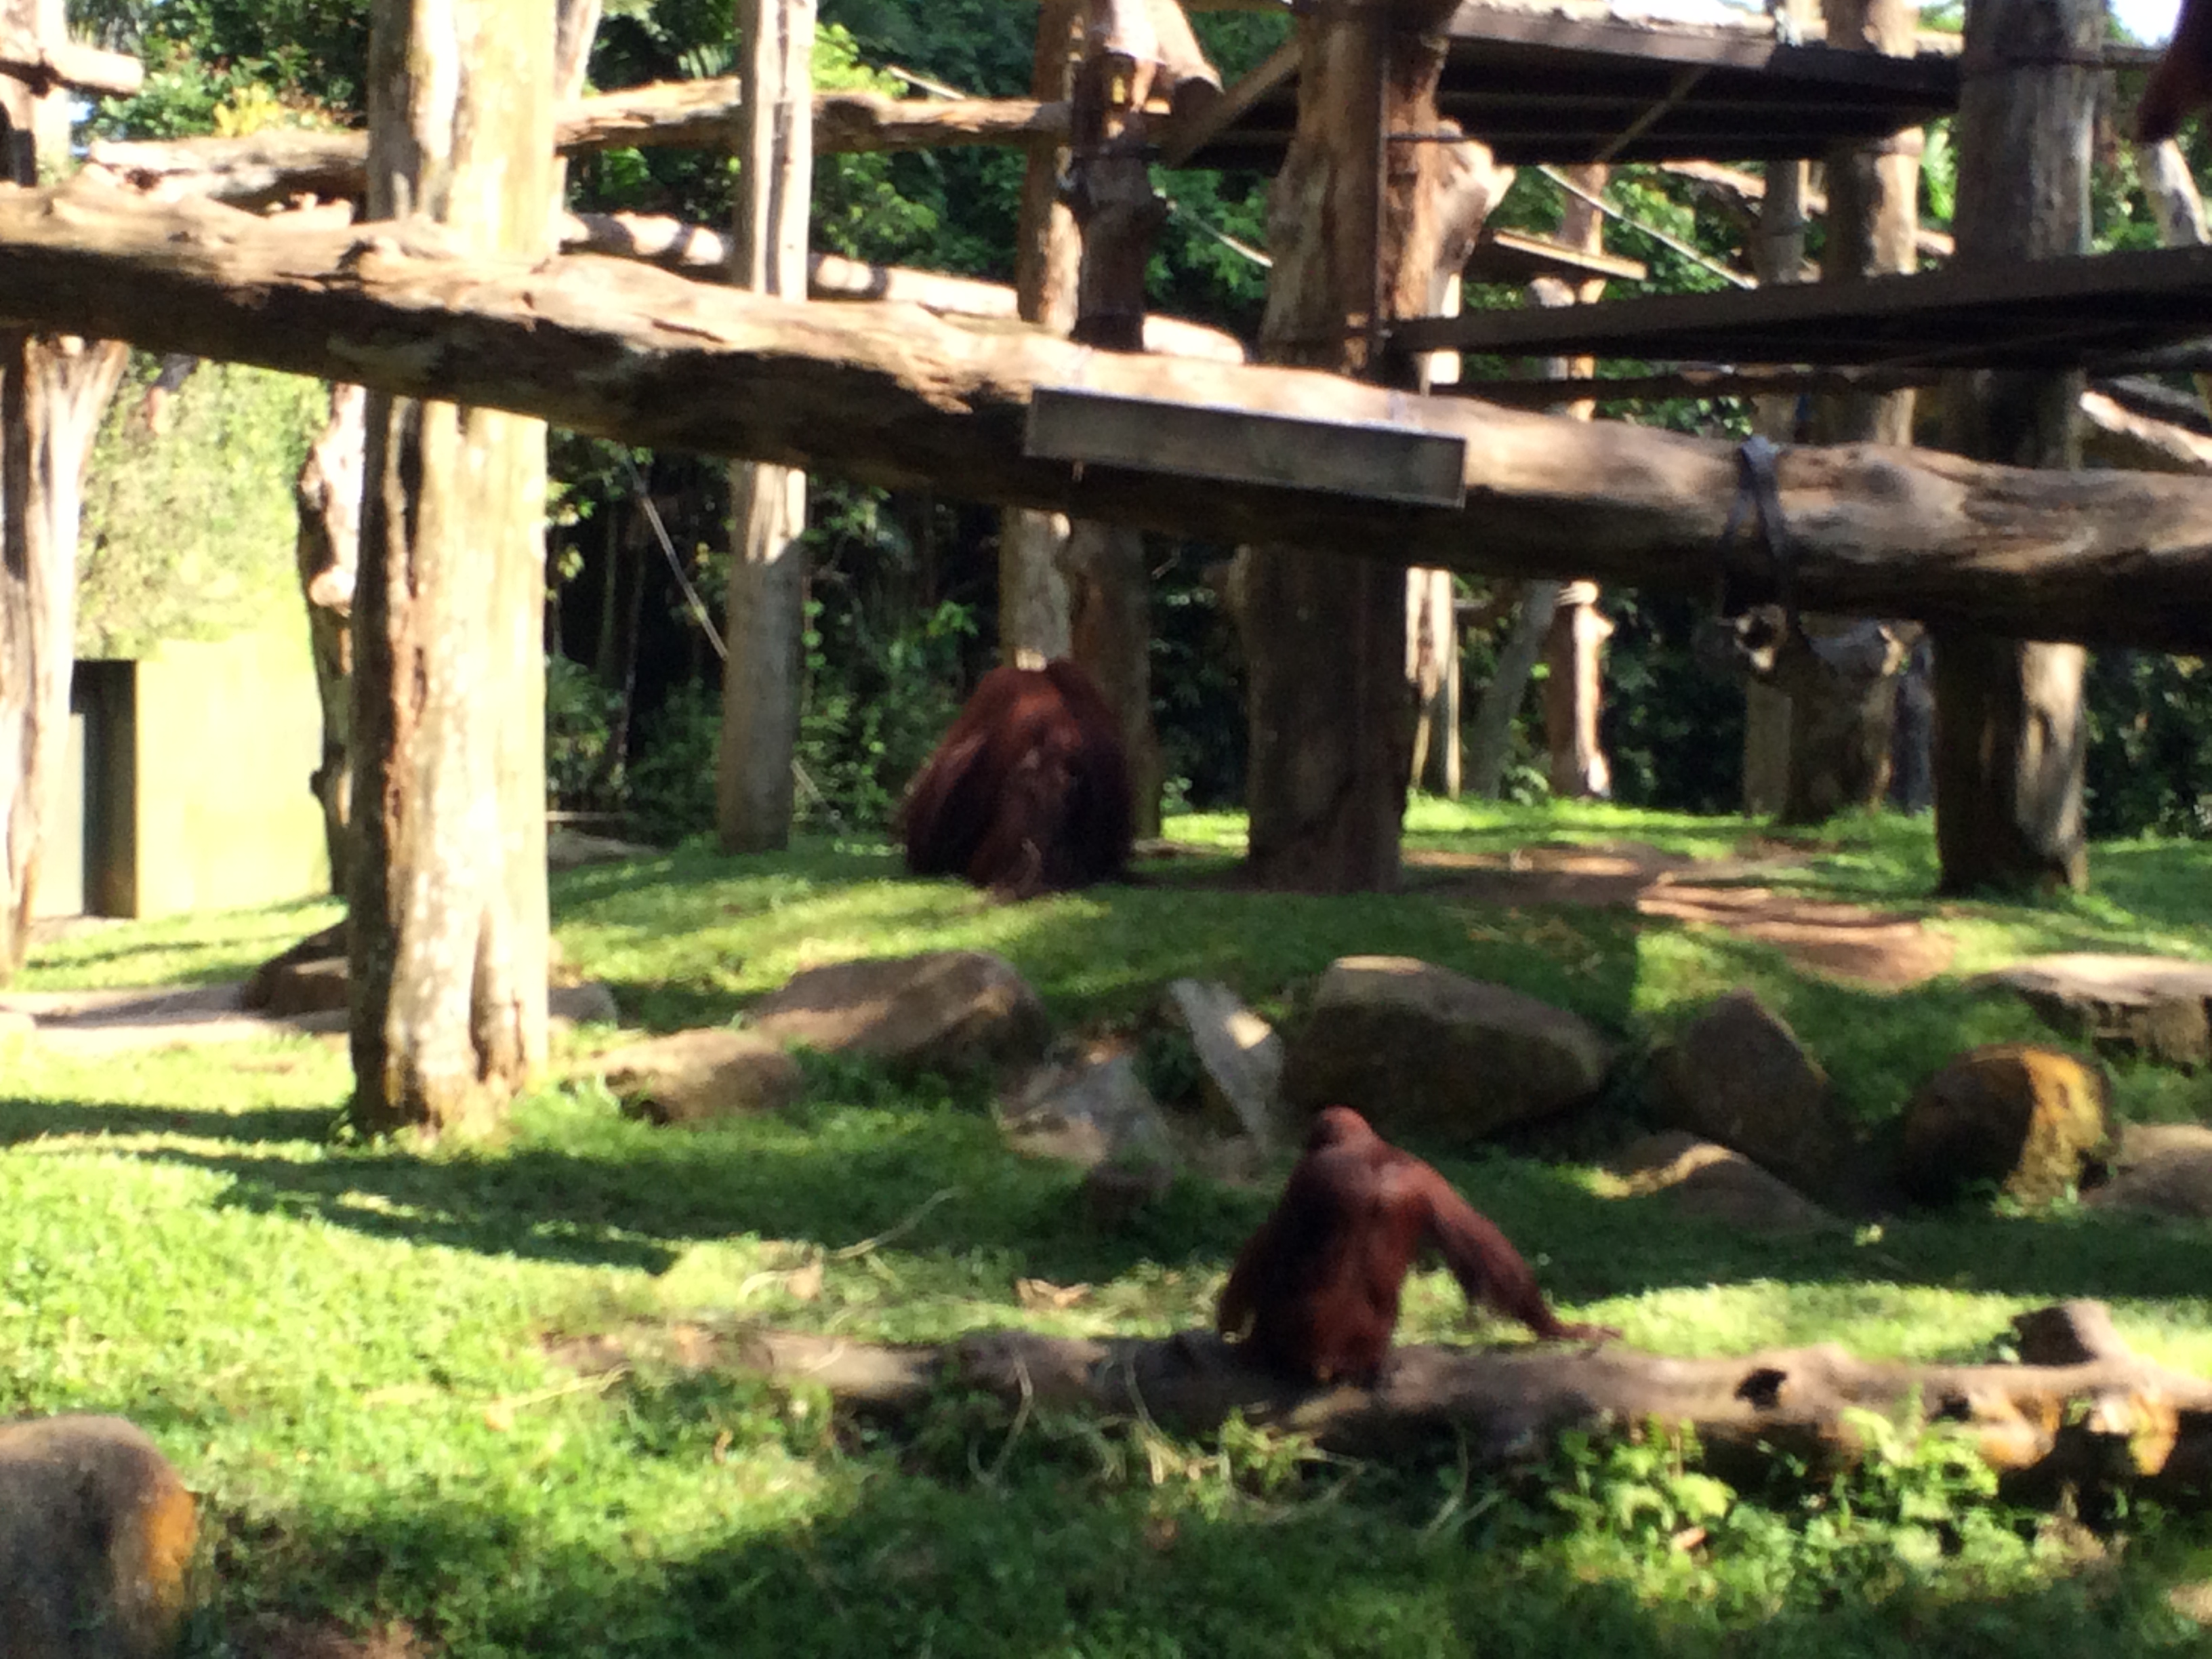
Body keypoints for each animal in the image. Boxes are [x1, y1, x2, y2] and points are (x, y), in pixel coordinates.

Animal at [1217, 1107, 1616, 1387]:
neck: (1370, 1153)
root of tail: (1327, 1359)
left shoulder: (1306, 1174)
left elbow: (1266, 1246)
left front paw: (1225, 1327)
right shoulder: (1428, 1177)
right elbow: (1484, 1247)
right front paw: (1563, 1328)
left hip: (1281, 1337)